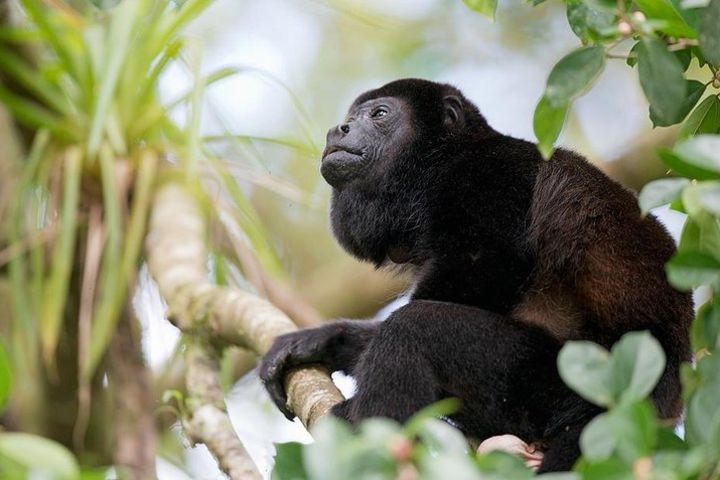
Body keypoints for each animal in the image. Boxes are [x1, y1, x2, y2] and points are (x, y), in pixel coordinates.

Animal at [258, 79, 692, 472]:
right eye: (351, 118)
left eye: (379, 114)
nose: (339, 129)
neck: (434, 170)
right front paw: (324, 339)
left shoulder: (488, 176)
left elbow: (477, 274)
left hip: (560, 381)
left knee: (413, 328)